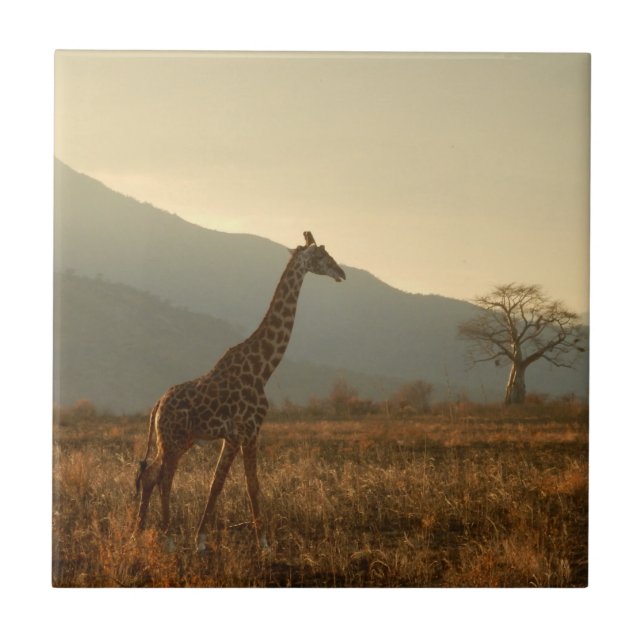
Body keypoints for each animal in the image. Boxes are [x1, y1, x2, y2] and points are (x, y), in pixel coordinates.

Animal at [134, 231, 345, 552]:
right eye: (322, 255)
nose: (341, 273)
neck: (263, 369)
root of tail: (157, 405)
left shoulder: (240, 434)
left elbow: (237, 484)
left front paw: (228, 539)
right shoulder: (244, 431)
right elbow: (231, 484)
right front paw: (256, 543)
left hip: (176, 441)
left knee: (150, 475)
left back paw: (137, 534)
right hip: (173, 440)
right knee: (164, 478)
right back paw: (167, 538)